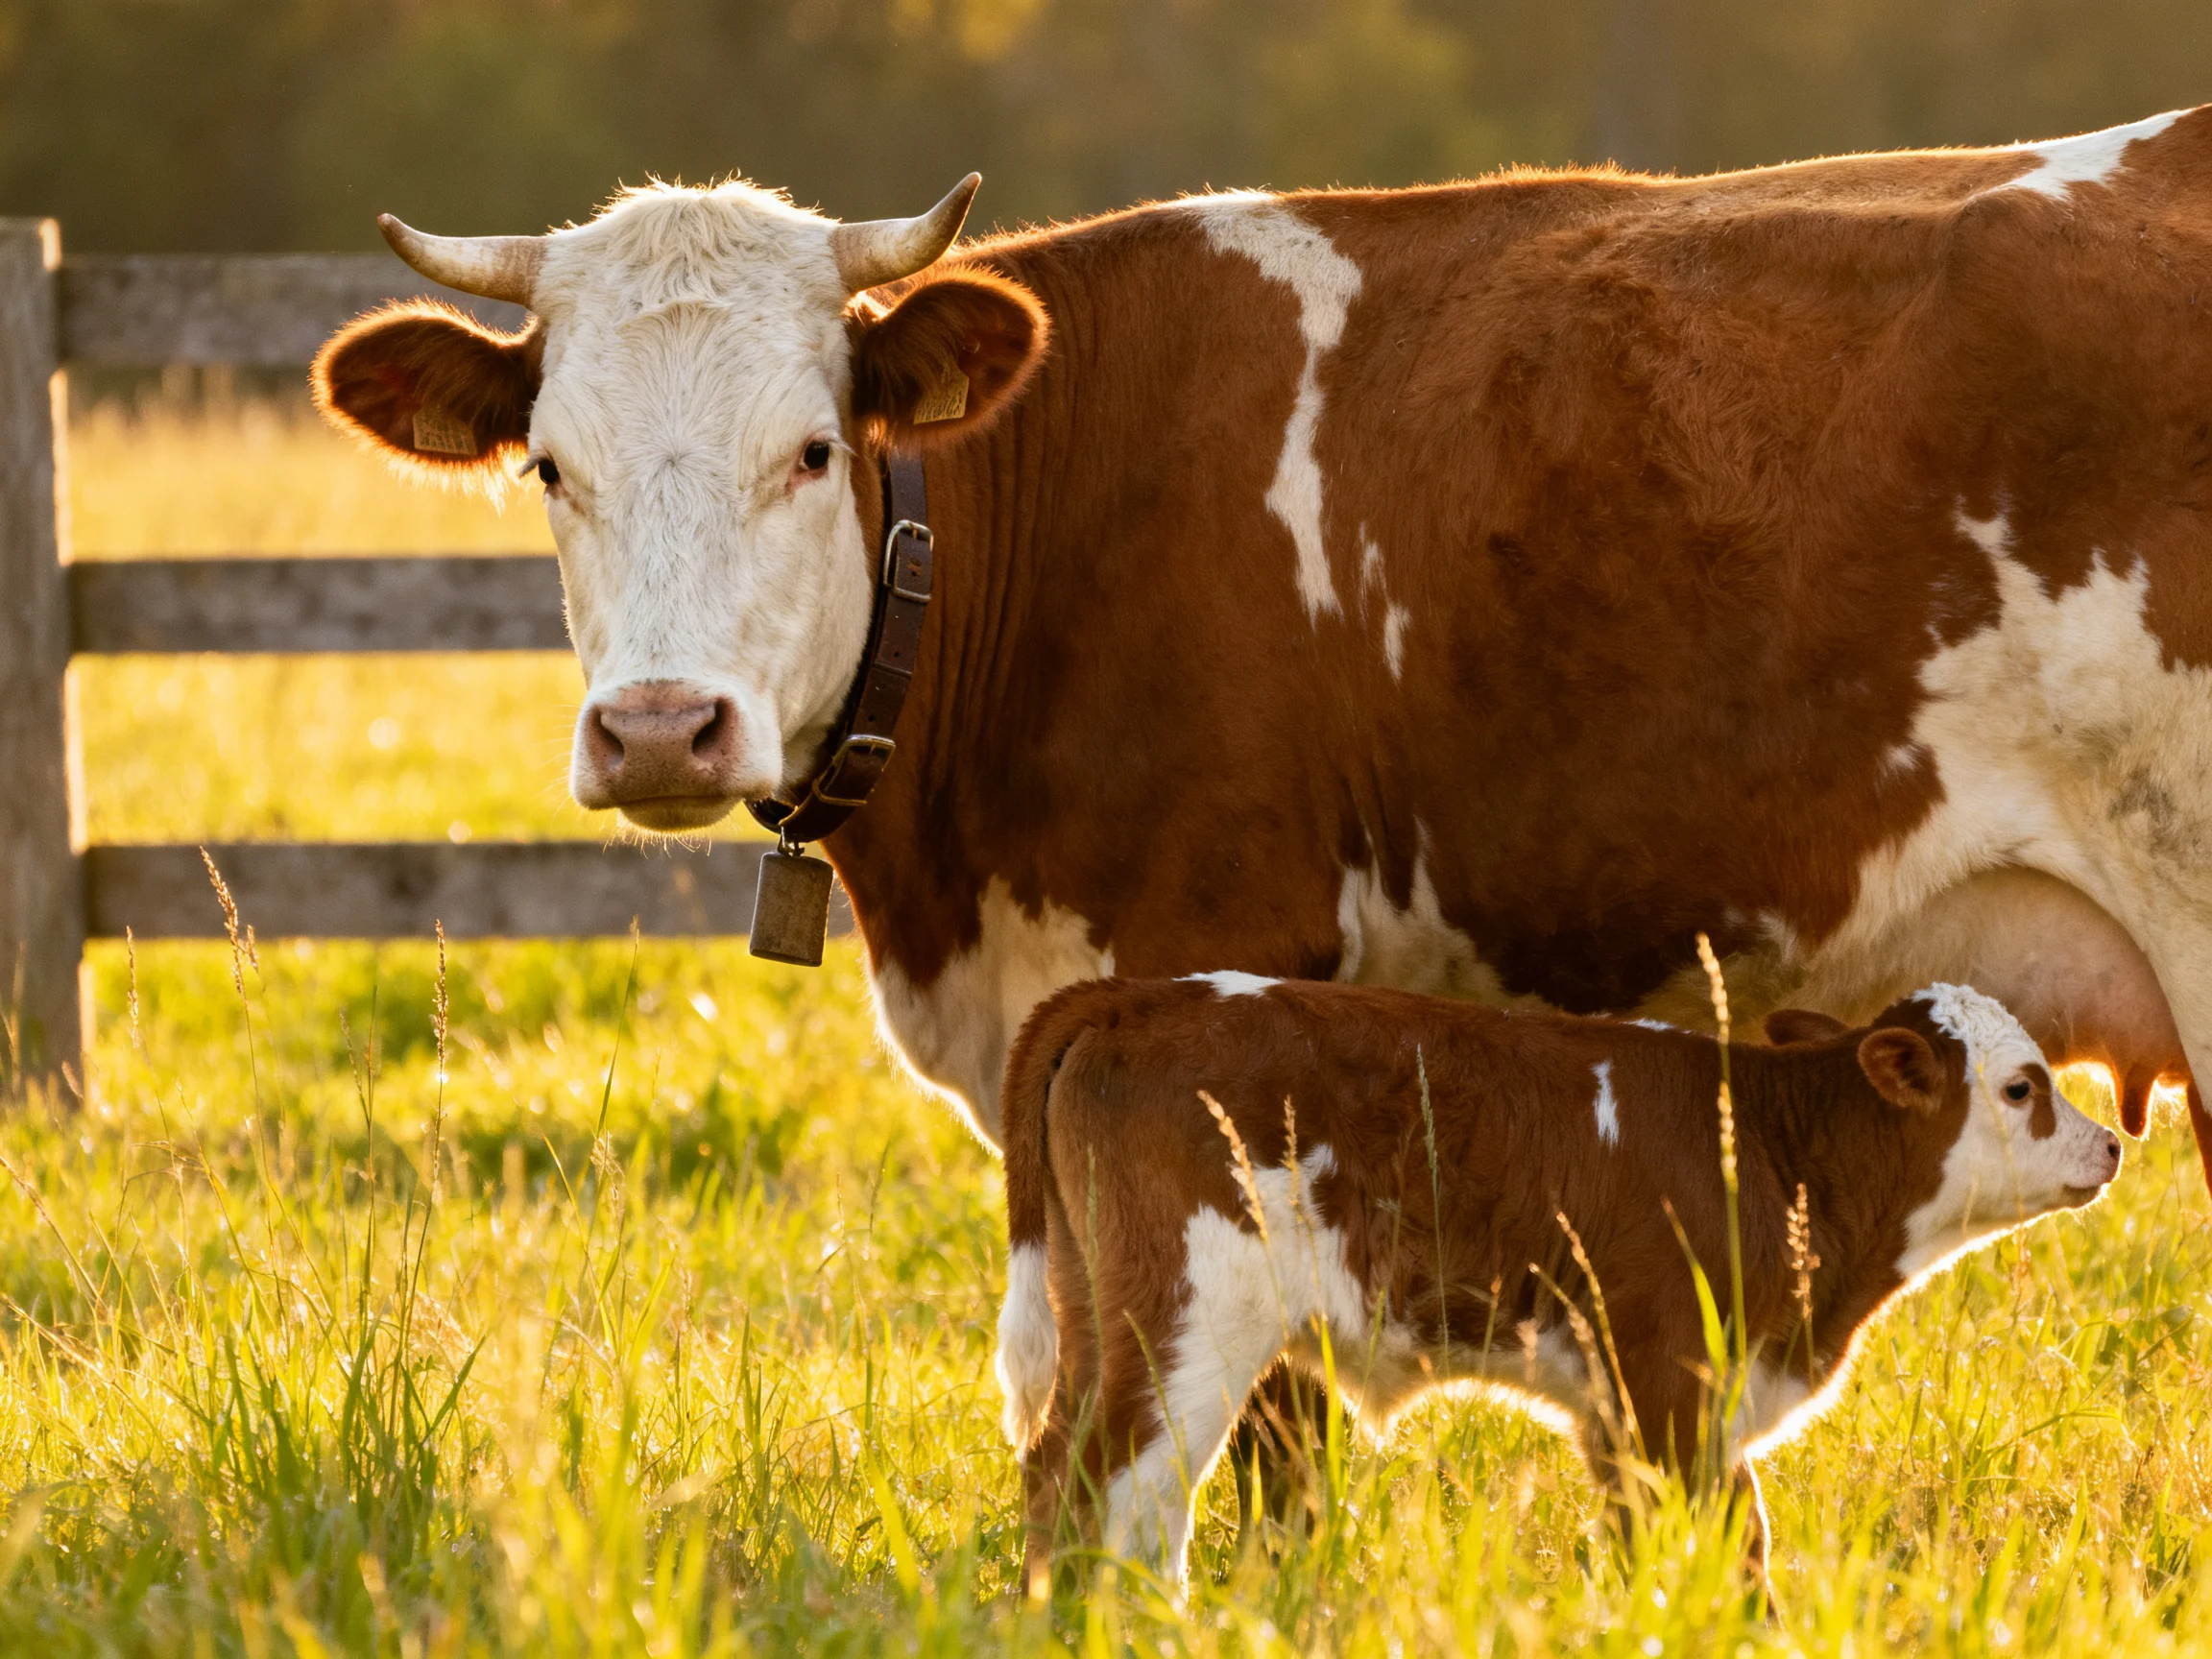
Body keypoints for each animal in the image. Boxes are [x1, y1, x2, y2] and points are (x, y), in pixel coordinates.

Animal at [993, 973, 2122, 1588]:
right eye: (2022, 1088)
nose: (2112, 1143)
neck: (1771, 1150)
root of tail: (1133, 995)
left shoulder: (1625, 1405)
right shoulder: (1668, 1381)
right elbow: (1730, 1539)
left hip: (1098, 1303)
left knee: (1055, 1465)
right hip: (1188, 1321)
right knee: (1127, 1482)